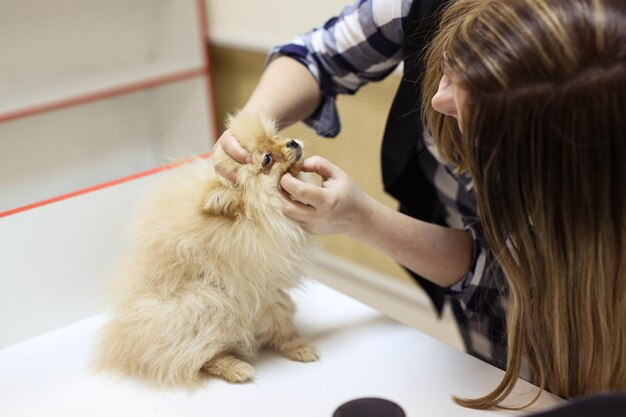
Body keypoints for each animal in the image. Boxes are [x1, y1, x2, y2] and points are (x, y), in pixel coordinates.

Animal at [95, 111, 320, 386]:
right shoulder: (259, 286)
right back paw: (235, 367)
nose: (293, 142)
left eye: (275, 136)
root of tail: (124, 341)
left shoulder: (272, 283)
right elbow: (280, 322)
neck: (253, 220)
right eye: (266, 160)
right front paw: (299, 346)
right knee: (187, 356)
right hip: (205, 302)